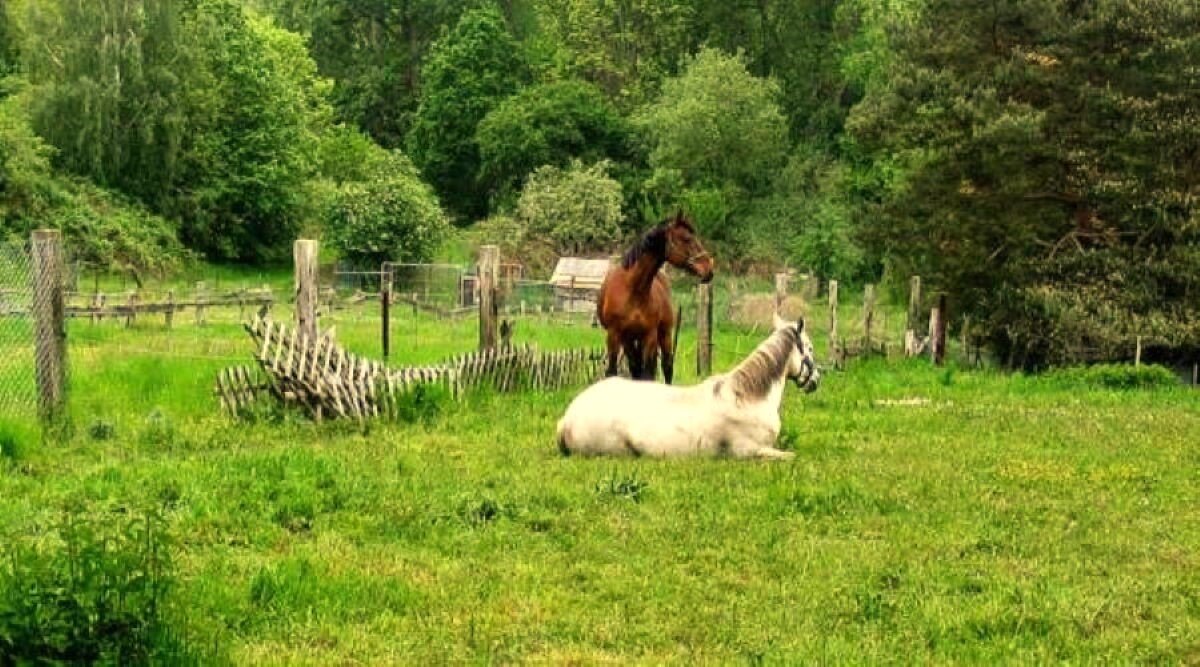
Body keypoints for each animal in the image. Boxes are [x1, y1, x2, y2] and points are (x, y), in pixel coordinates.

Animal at [556, 311, 820, 458]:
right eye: (809, 348)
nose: (816, 380)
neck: (746, 399)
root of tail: (567, 419)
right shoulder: (750, 451)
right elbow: (791, 455)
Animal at [592, 211, 705, 383]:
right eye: (687, 239)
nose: (709, 266)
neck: (633, 290)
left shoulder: (649, 335)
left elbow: (647, 373)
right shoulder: (615, 335)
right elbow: (613, 371)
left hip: (664, 334)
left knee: (667, 366)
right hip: (630, 340)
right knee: (637, 368)